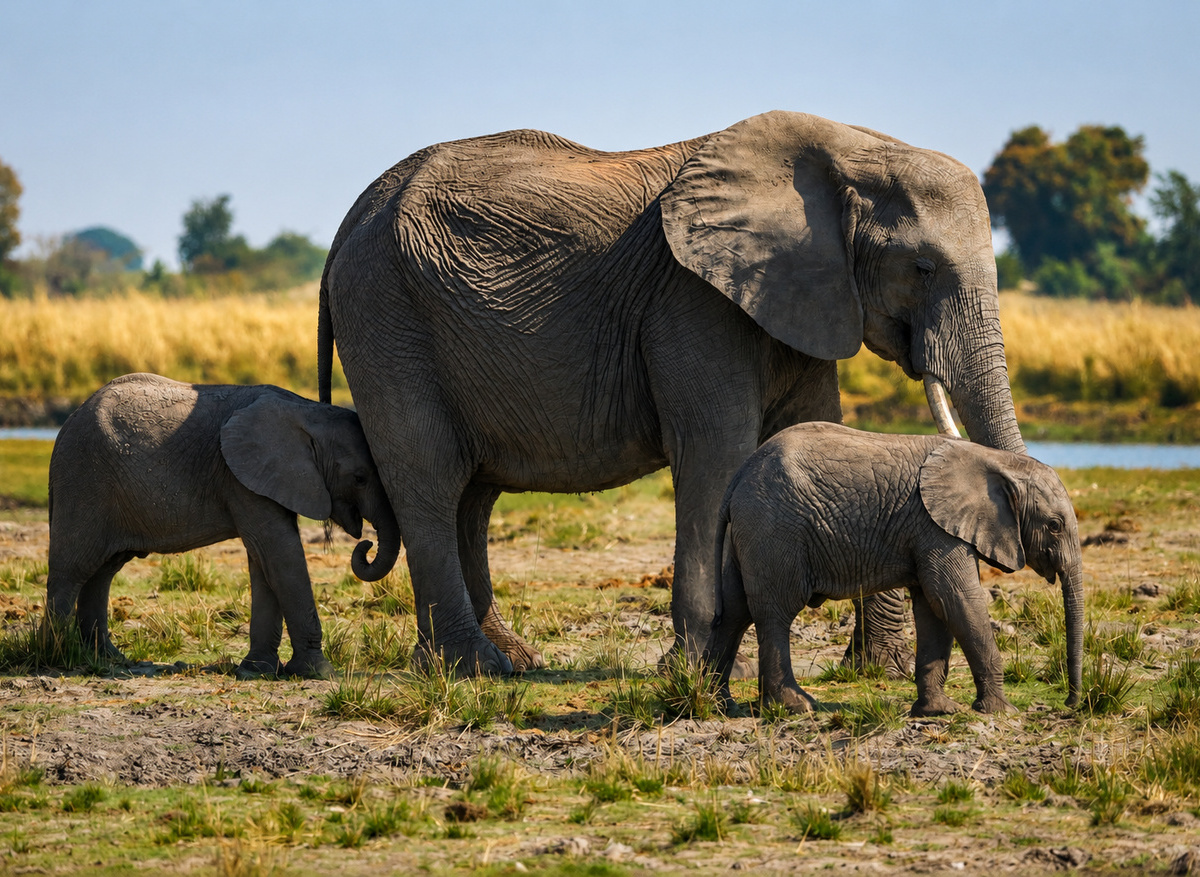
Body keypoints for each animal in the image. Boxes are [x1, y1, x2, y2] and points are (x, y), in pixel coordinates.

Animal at [43, 373, 401, 678]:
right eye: (359, 478)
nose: (366, 545)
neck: (308, 412)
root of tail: (67, 423)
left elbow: (264, 561)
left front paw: (256, 671)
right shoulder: (241, 477)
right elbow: (279, 554)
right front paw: (319, 673)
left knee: (102, 571)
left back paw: (108, 659)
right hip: (84, 478)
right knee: (72, 569)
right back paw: (56, 656)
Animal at [317, 110, 1027, 676]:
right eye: (923, 267)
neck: (852, 147)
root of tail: (351, 216)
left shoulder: (800, 296)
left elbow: (818, 436)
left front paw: (877, 670)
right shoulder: (691, 301)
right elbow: (716, 454)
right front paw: (695, 671)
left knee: (474, 494)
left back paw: (508, 662)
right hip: (386, 314)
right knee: (431, 479)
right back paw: (472, 667)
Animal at [703, 422, 1083, 716]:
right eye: (1054, 525)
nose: (1069, 703)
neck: (997, 461)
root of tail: (737, 480)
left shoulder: (929, 529)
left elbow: (934, 608)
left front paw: (938, 711)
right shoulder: (935, 527)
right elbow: (957, 599)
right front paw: (1001, 711)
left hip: (749, 535)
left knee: (734, 614)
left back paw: (717, 706)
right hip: (774, 530)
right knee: (776, 612)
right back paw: (797, 706)